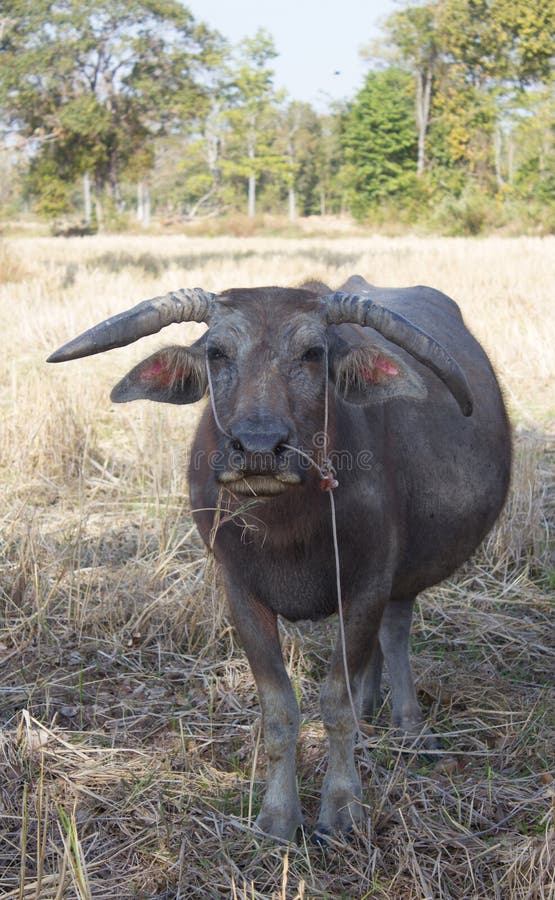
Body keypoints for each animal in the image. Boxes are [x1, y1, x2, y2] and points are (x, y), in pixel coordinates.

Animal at [48, 274, 511, 841]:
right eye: (217, 352)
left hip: (403, 576)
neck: (287, 531)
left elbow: (335, 703)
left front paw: (342, 805)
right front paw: (277, 815)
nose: (259, 448)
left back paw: (408, 727)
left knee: (395, 630)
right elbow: (279, 709)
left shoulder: (367, 584)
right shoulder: (241, 593)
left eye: (313, 353)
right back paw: (375, 710)